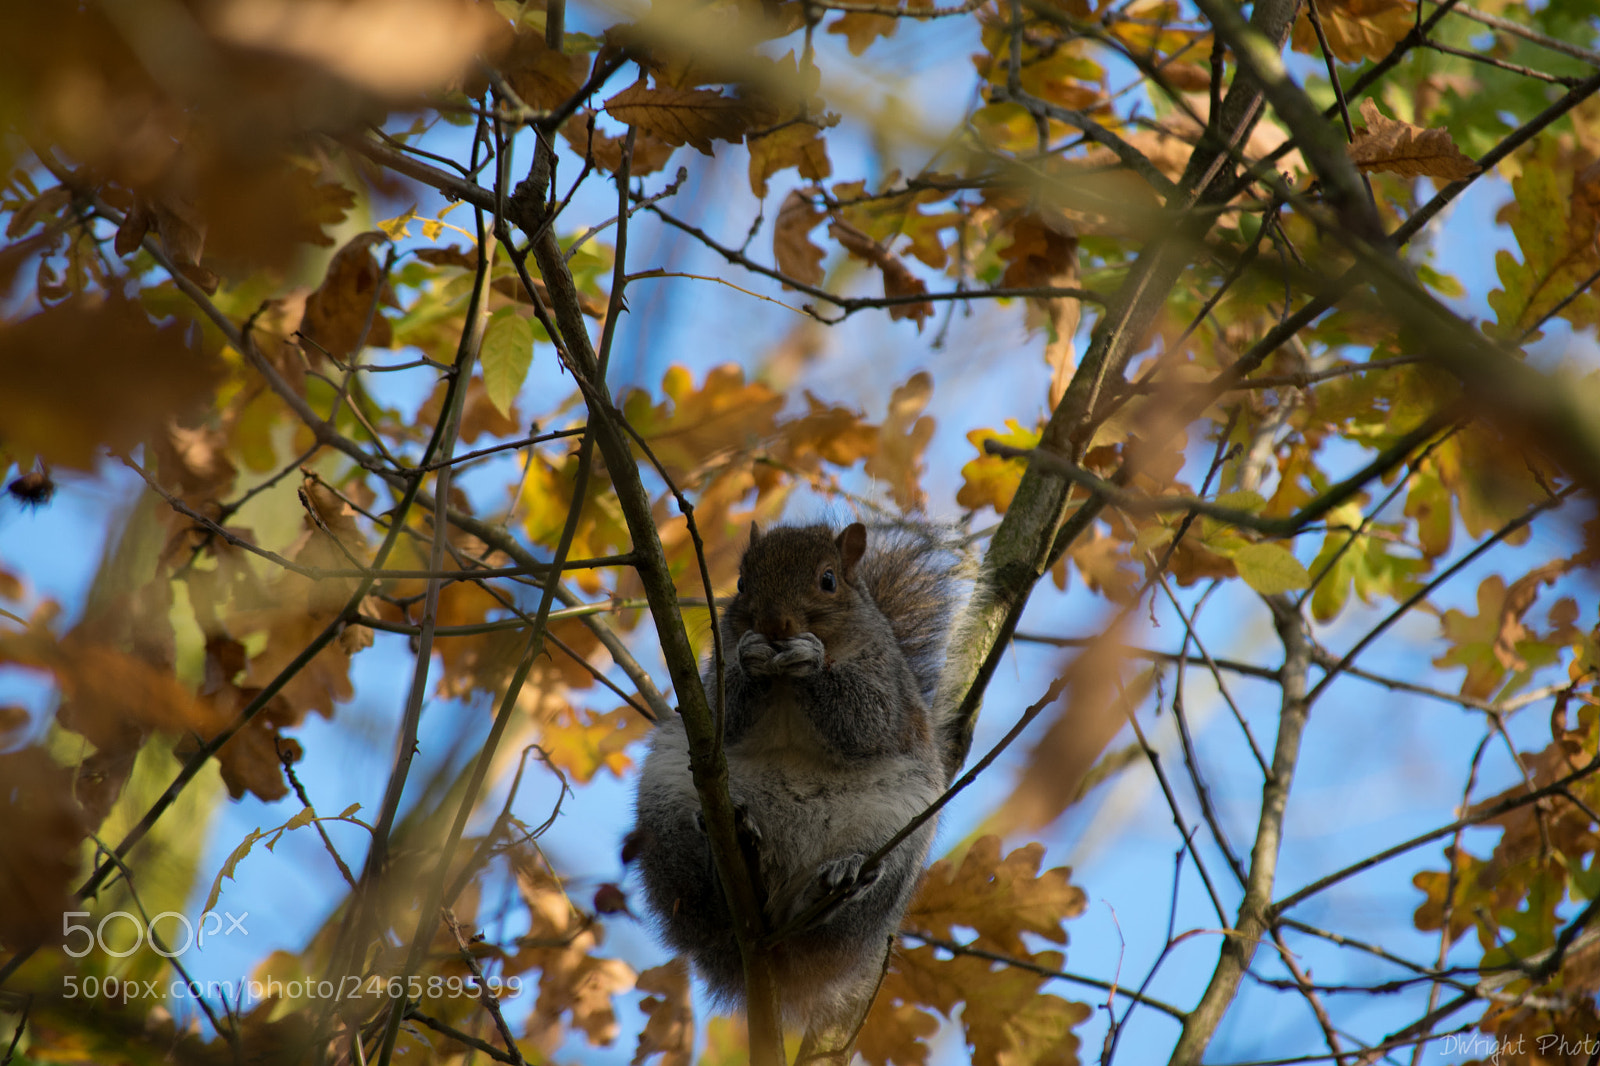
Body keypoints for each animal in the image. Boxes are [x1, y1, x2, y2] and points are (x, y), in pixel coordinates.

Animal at [628, 521, 961, 1030]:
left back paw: (838, 882)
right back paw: (732, 854)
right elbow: (723, 717)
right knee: (706, 901)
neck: (783, 684)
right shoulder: (709, 687)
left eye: (828, 580)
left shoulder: (887, 683)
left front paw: (809, 660)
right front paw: (752, 660)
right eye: (741, 583)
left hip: (901, 835)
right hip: (667, 813)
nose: (774, 625)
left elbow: (867, 719)